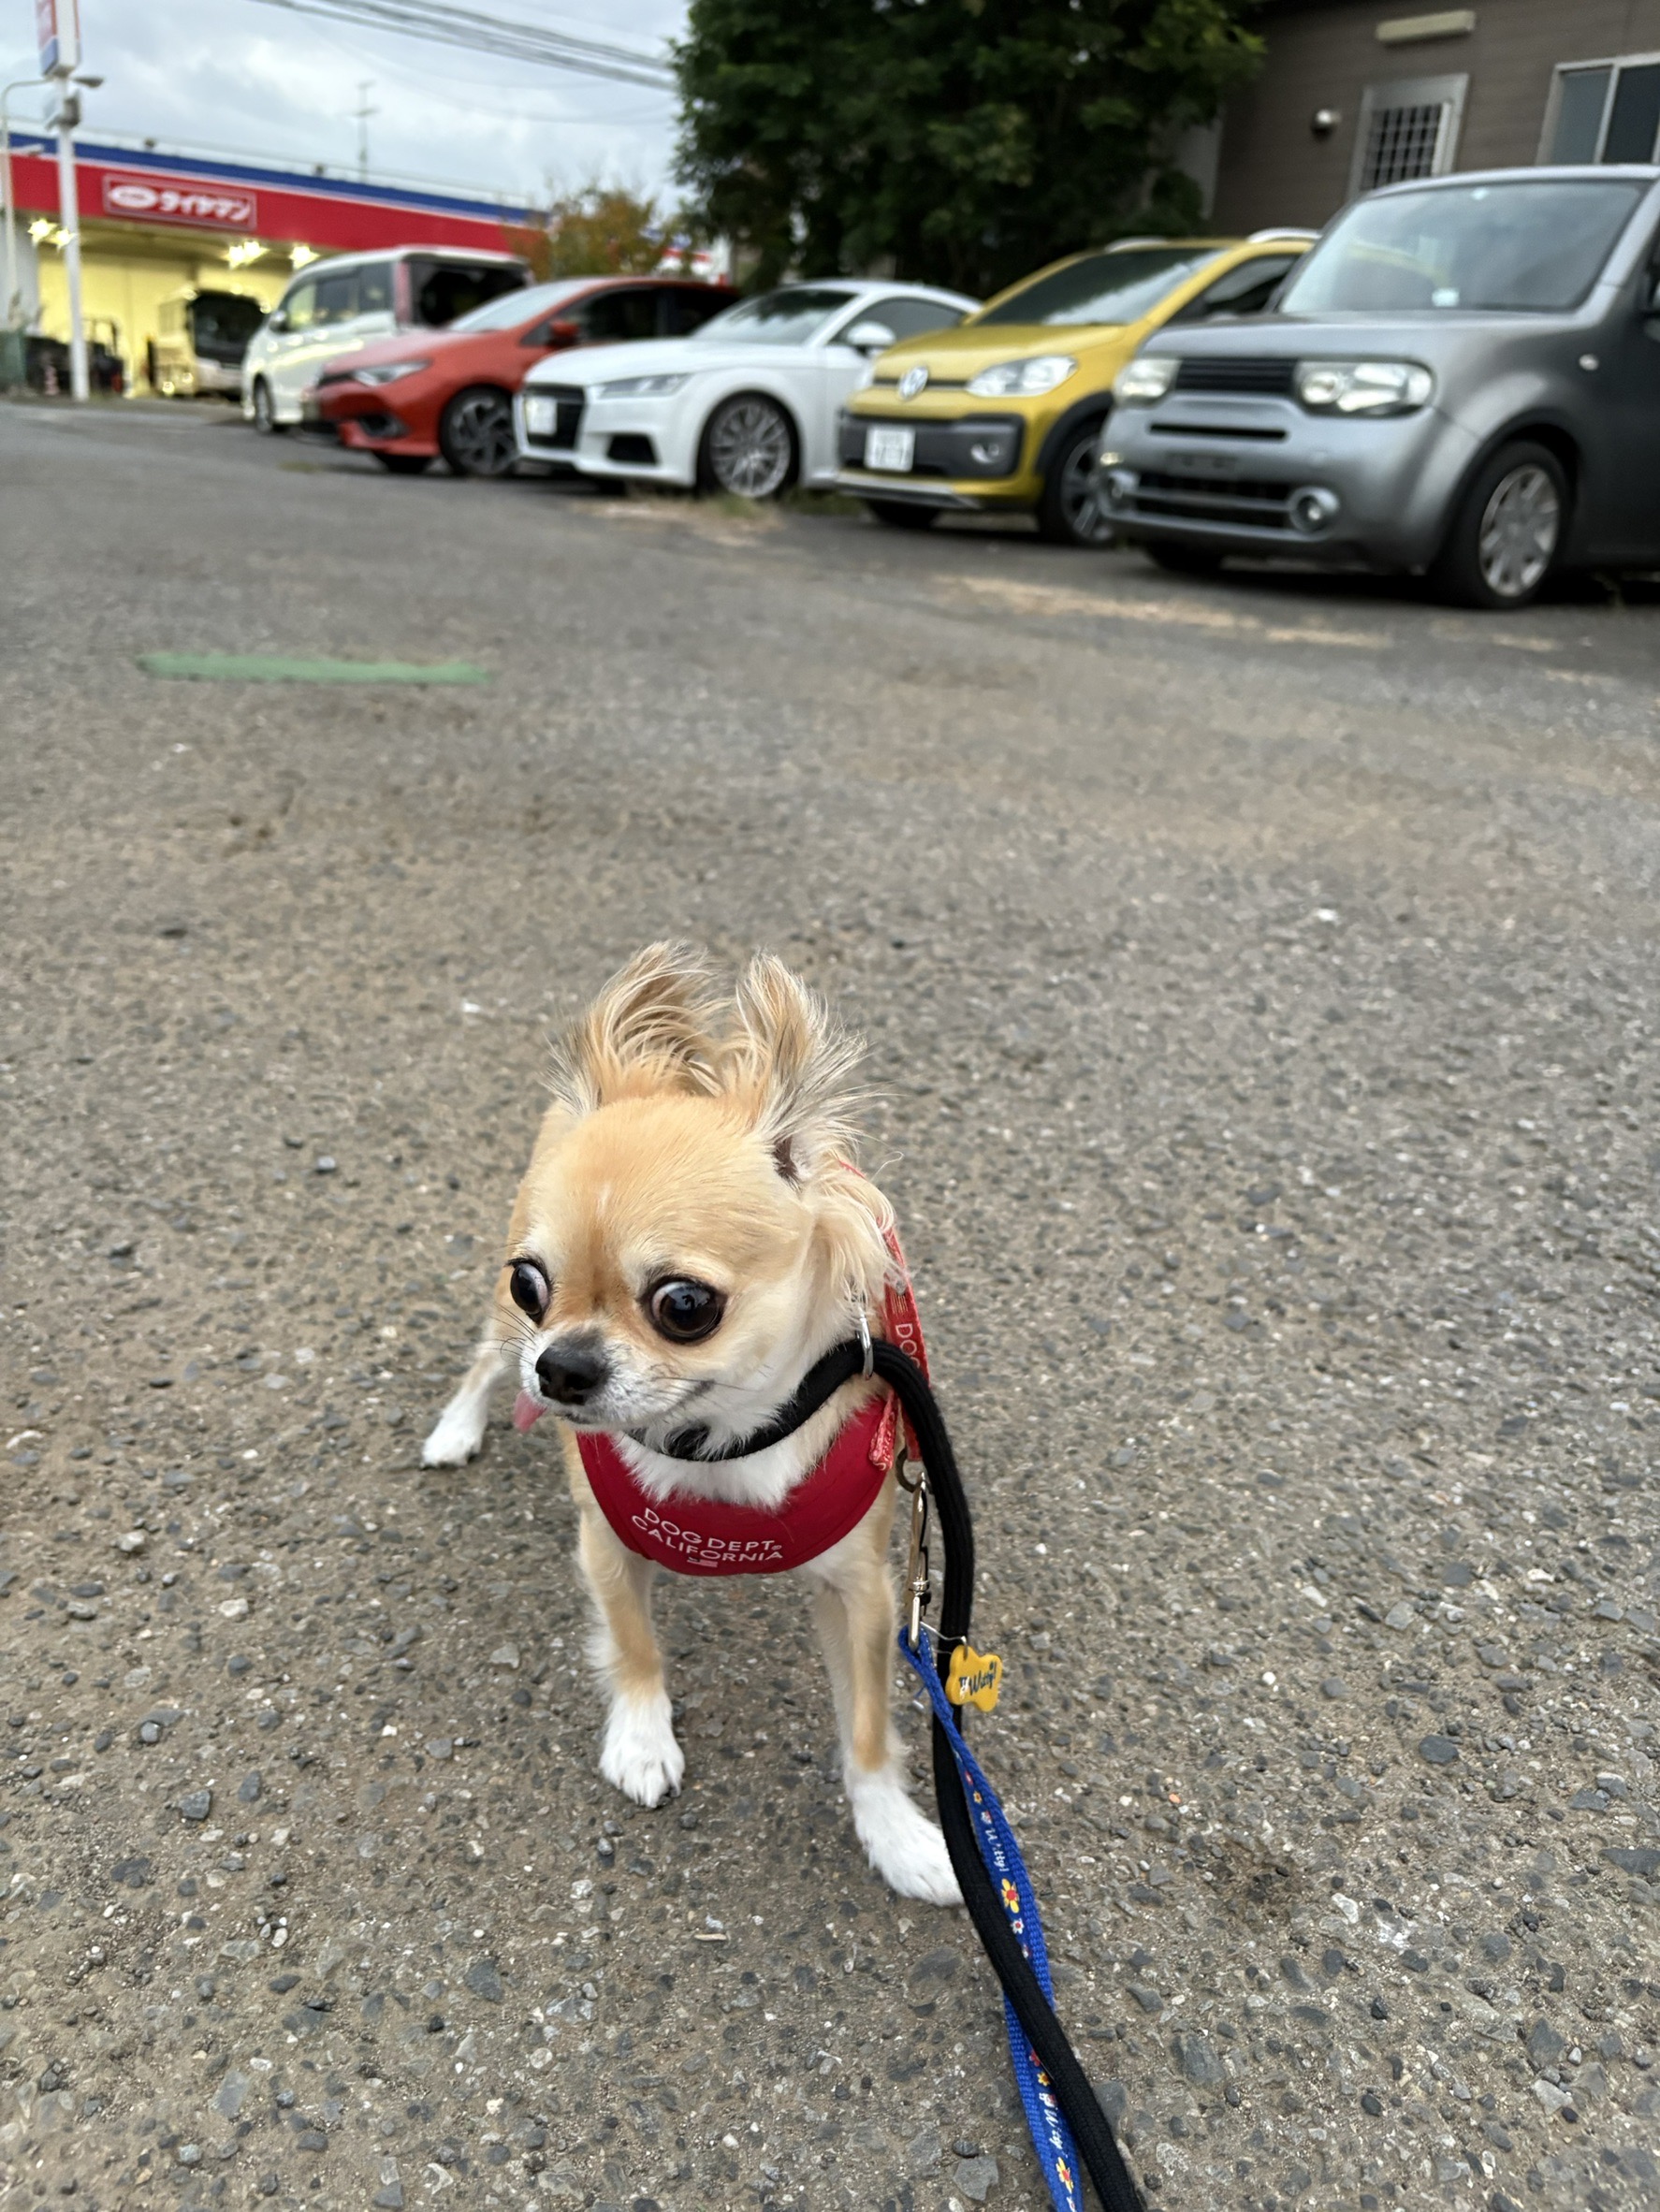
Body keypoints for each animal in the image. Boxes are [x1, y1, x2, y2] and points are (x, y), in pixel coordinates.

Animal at [422, 945, 960, 1905]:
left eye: (683, 1306)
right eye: (532, 1282)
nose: (561, 1368)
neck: (718, 1439)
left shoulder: (861, 1590)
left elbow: (864, 1728)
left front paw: (897, 1837)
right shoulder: (605, 1540)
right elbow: (635, 1647)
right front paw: (641, 1740)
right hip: (501, 1331)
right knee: (487, 1361)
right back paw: (456, 1428)